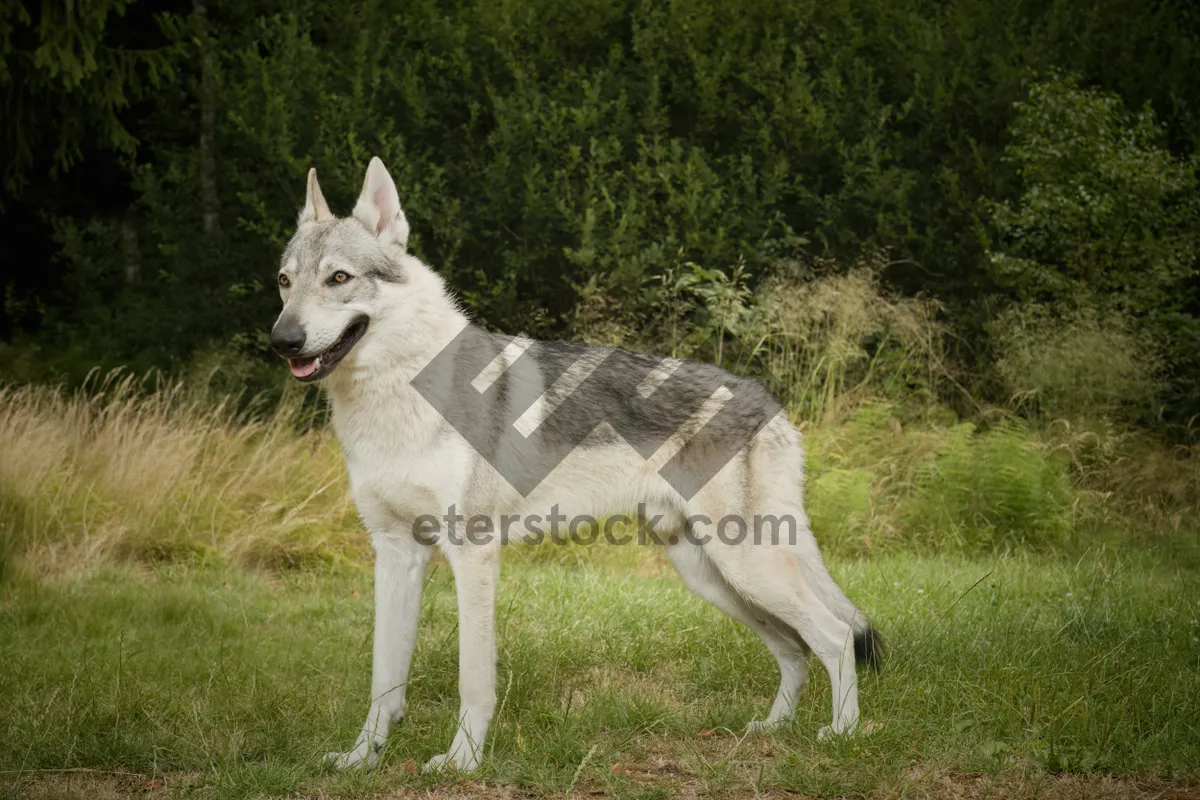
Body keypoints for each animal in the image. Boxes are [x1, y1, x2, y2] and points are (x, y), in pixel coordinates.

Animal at [267, 158, 878, 777]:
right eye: (285, 282)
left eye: (339, 278)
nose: (282, 340)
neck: (397, 394)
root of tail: (769, 401)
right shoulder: (395, 553)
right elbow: (384, 680)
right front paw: (362, 757)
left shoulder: (472, 552)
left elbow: (473, 680)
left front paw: (463, 760)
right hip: (712, 575)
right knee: (794, 649)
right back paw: (773, 729)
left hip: (746, 565)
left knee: (834, 638)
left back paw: (843, 734)